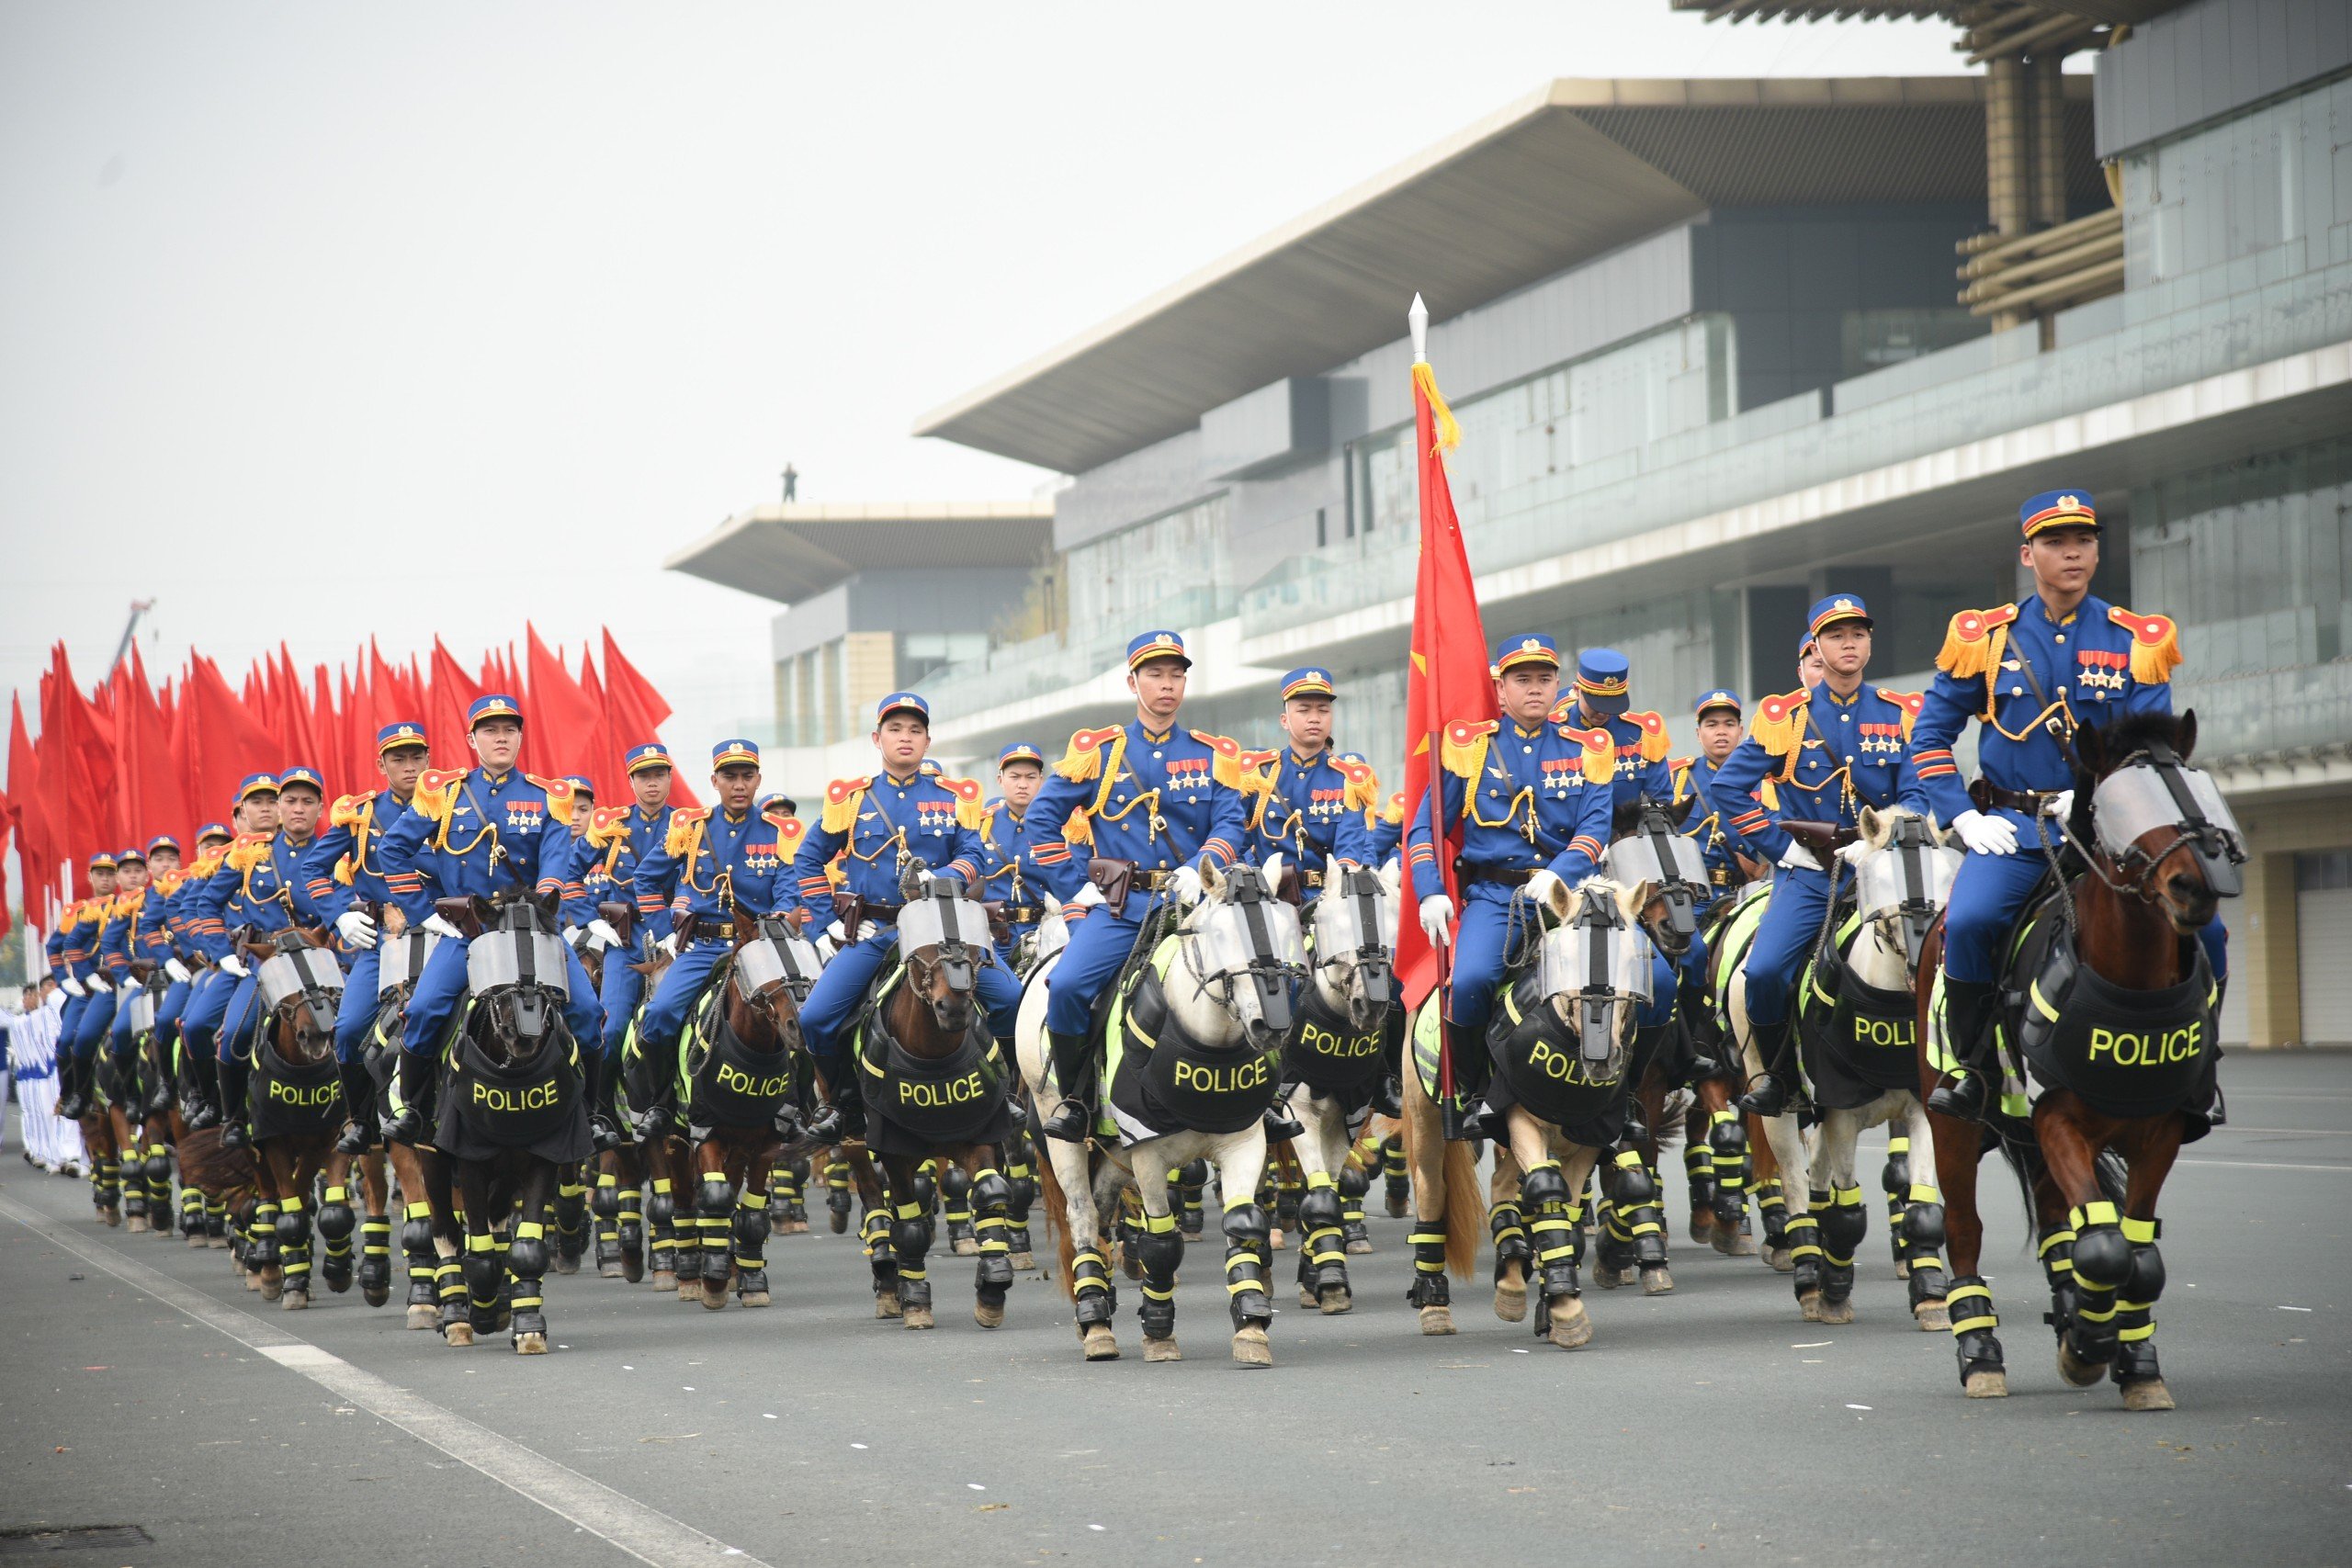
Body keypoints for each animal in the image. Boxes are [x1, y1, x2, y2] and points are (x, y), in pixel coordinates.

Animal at [1015, 851, 1307, 1363]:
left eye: (1282, 930)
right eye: (1221, 935)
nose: (1269, 1026)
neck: (1208, 1044)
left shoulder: (1244, 1142)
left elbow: (1243, 1221)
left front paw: (1252, 1322)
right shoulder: (1149, 1156)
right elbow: (1161, 1243)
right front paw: (1158, 1330)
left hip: (1115, 1151)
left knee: (1102, 1210)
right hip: (1061, 1131)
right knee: (1083, 1216)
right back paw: (1095, 1320)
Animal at [1401, 869, 1665, 1354]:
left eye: (1635, 961)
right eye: (1566, 959)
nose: (1602, 1060)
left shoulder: (1589, 1138)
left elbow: (1565, 1214)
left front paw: (1554, 1302)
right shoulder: (1522, 1122)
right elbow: (1546, 1190)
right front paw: (1564, 1305)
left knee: (1503, 1186)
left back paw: (1510, 1272)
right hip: (1429, 1124)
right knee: (1432, 1192)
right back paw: (1433, 1303)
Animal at [1918, 709, 2229, 1410]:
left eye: (2192, 784)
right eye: (2119, 803)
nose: (2194, 884)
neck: (2130, 982)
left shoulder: (2160, 1130)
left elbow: (2137, 1256)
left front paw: (2132, 1358)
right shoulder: (2060, 1118)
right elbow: (2107, 1249)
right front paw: (2090, 1345)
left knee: (2062, 1224)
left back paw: (2070, 1311)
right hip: (1954, 1123)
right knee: (1965, 1229)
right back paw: (1981, 1353)